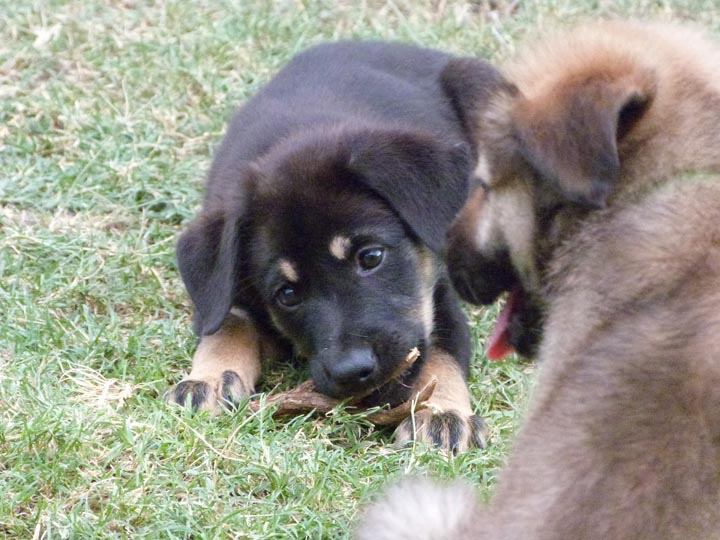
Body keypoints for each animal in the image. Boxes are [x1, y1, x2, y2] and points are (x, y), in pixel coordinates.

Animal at [166, 40, 504, 452]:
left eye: (371, 257)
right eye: (287, 294)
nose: (353, 370)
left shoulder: (440, 303)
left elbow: (442, 357)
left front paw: (441, 413)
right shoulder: (223, 293)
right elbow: (225, 326)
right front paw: (209, 378)